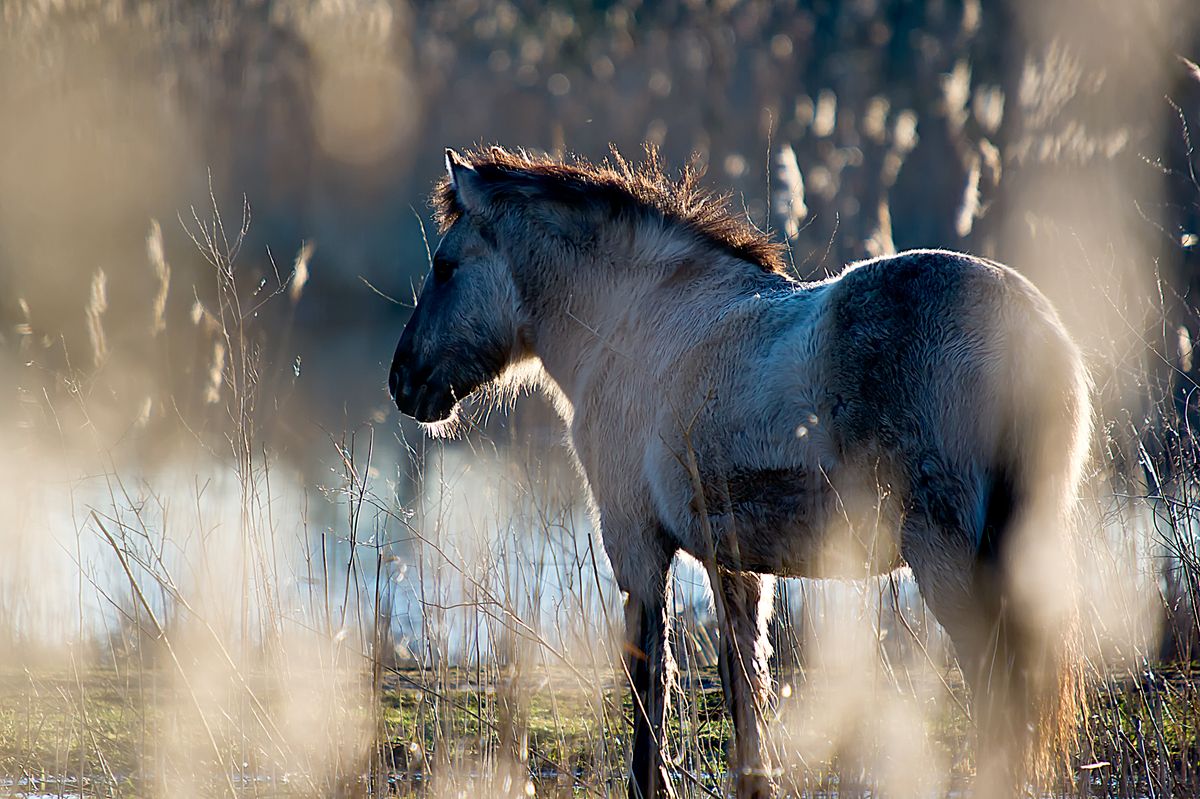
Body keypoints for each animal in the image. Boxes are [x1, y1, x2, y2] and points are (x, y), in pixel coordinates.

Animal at [388, 146, 1090, 799]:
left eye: (444, 267)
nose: (402, 382)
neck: (637, 325)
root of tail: (1023, 324)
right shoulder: (734, 566)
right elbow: (746, 692)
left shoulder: (638, 547)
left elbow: (650, 688)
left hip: (945, 559)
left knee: (996, 697)